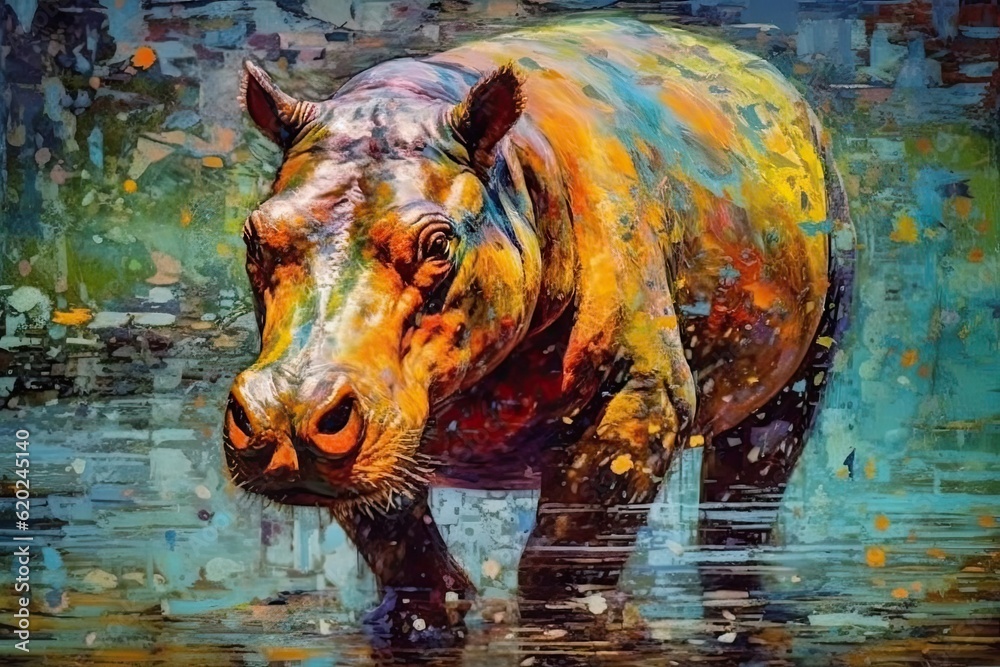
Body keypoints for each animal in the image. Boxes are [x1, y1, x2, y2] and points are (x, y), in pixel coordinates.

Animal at [224, 17, 854, 633]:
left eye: (439, 245)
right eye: (253, 237)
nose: (289, 418)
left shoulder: (641, 394)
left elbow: (564, 565)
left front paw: (574, 618)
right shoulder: (387, 417)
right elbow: (404, 550)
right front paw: (419, 617)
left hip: (831, 215)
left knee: (767, 443)